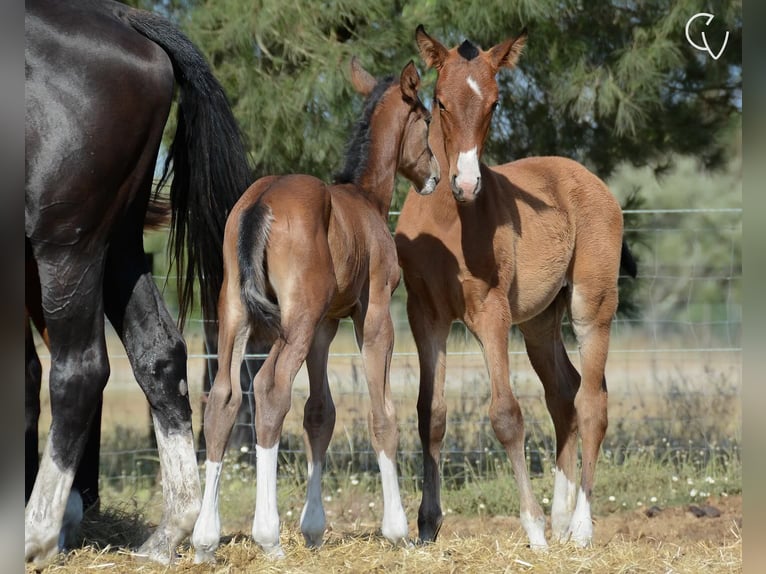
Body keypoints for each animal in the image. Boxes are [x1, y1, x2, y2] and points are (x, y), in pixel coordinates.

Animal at [24, 0, 250, 568]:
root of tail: (122, 17)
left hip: (67, 245)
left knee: (79, 371)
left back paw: (36, 534)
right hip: (118, 246)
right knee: (159, 355)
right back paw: (169, 534)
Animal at [396, 25, 636, 548]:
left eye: (495, 103)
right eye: (440, 101)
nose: (466, 183)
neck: (449, 221)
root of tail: (587, 179)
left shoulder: (490, 312)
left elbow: (506, 415)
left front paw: (533, 529)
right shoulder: (426, 315)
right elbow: (430, 413)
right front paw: (427, 524)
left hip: (590, 306)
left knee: (592, 401)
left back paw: (580, 527)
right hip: (540, 323)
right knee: (564, 395)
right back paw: (563, 518)